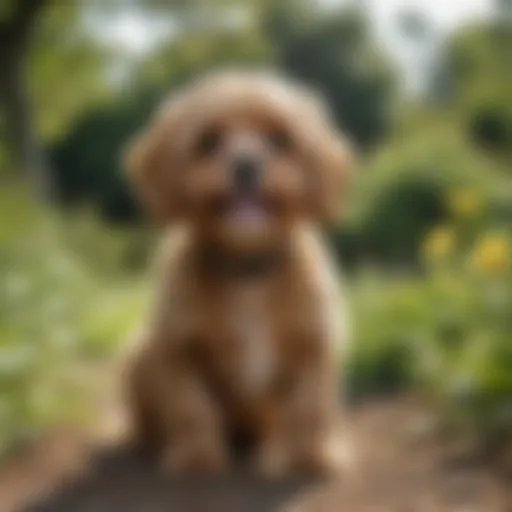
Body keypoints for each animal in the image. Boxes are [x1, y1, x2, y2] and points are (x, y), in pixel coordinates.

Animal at [122, 70, 354, 478]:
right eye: (208, 141)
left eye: (279, 139)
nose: (246, 165)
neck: (247, 270)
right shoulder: (177, 349)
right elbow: (191, 407)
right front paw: (197, 458)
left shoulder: (317, 343)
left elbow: (311, 407)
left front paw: (313, 457)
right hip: (136, 357)